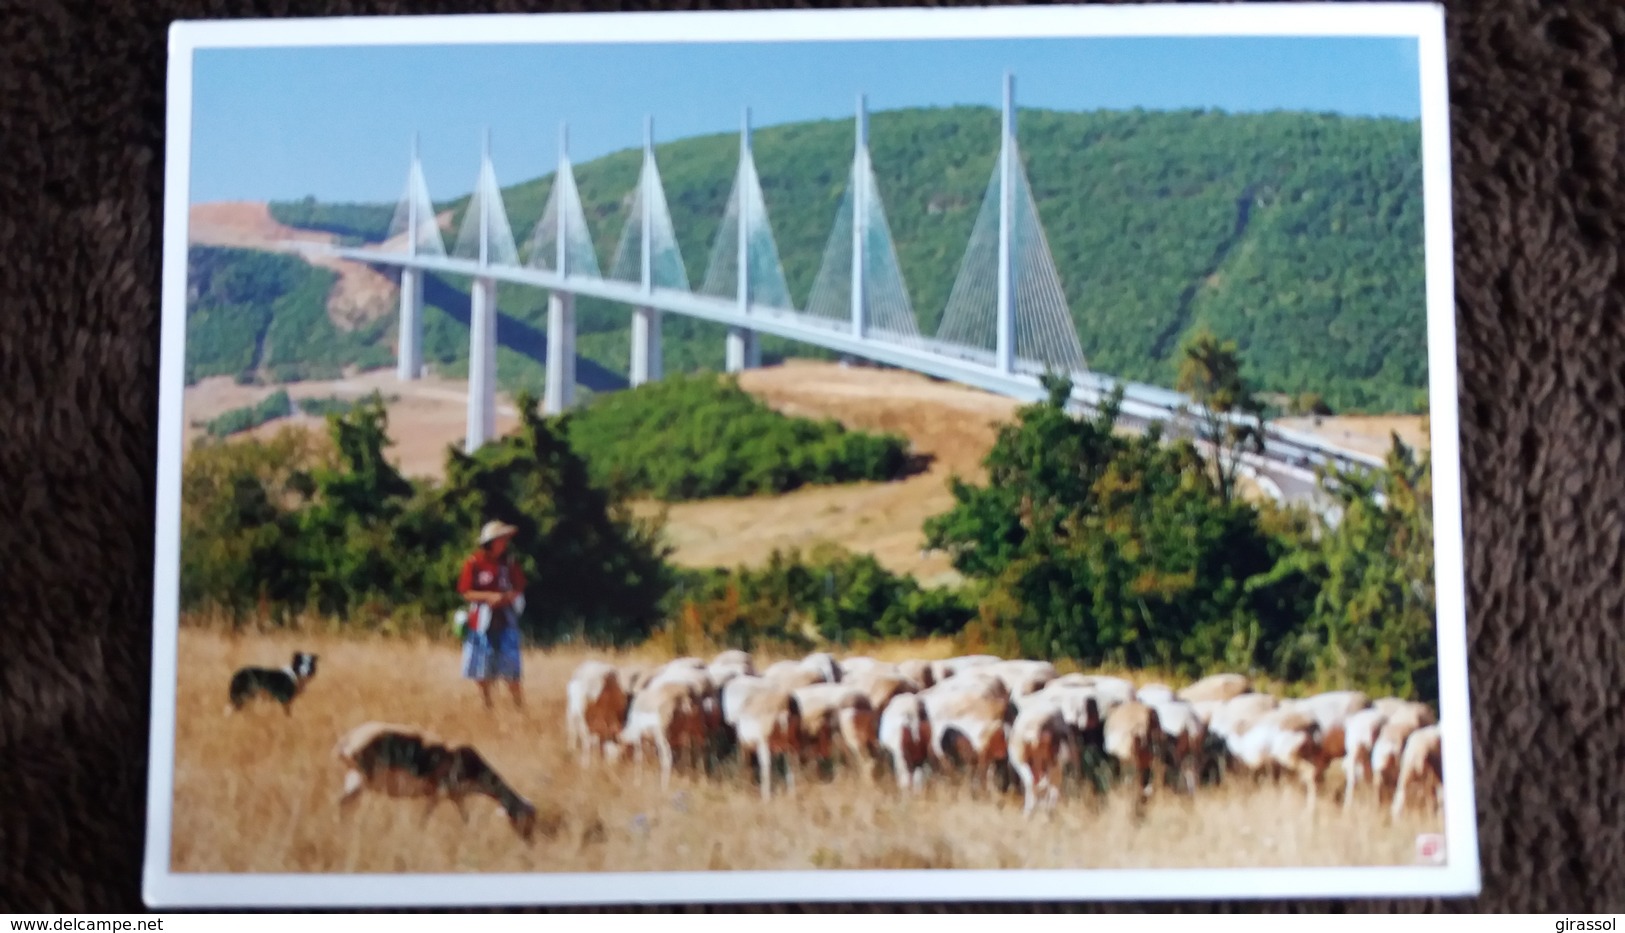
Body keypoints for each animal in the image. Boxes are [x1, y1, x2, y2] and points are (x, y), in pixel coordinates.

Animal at [331, 724, 539, 845]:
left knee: (343, 804)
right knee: (344, 803)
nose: (530, 843)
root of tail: (348, 740)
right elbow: (425, 821)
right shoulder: (437, 796)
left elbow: (464, 819)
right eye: (525, 820)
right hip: (362, 782)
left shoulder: (456, 798)